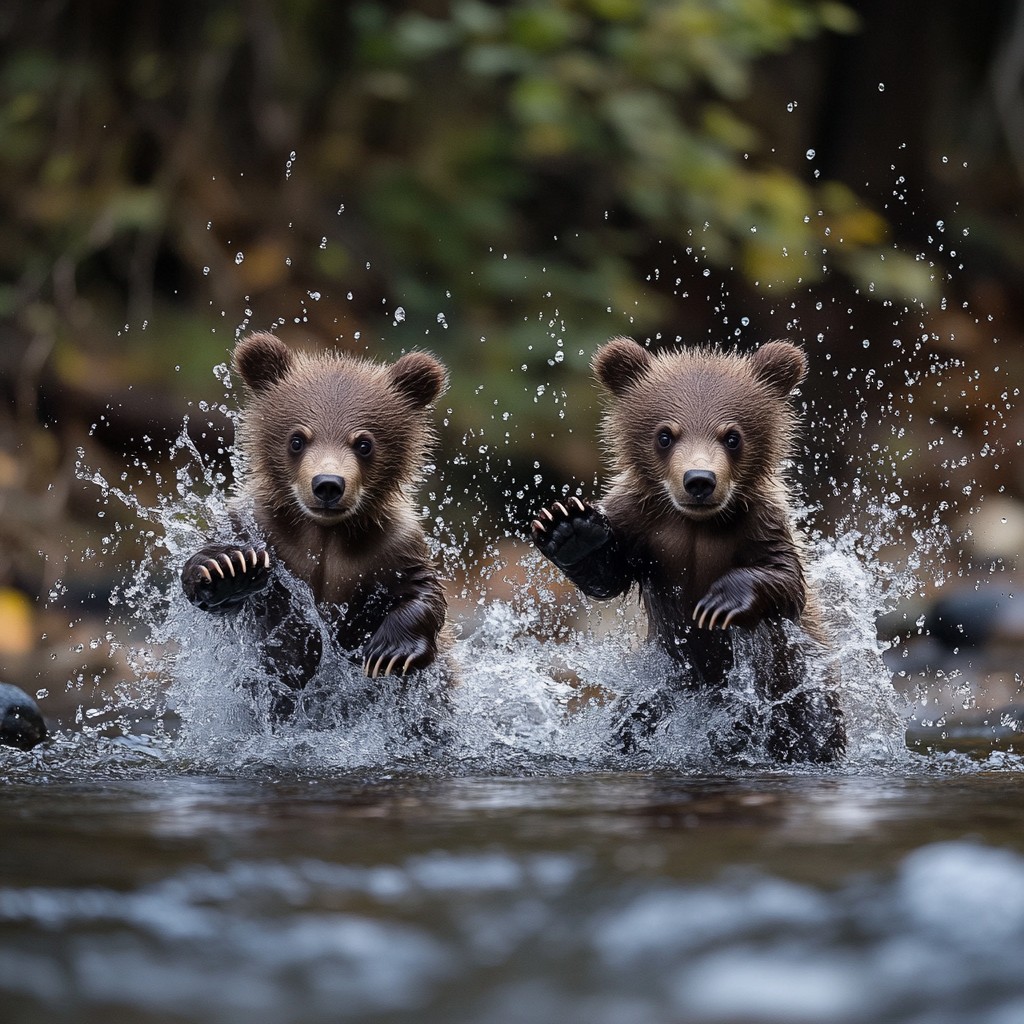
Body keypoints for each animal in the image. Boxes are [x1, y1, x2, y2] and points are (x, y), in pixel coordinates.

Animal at [181, 331, 450, 729]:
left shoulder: (391, 546)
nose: (328, 484)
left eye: (364, 443)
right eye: (297, 439)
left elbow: (423, 592)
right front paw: (228, 567)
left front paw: (389, 651)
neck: (326, 533)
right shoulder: (261, 526)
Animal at [531, 336, 845, 763]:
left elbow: (787, 580)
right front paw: (569, 526)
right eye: (665, 435)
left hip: (798, 686)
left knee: (813, 726)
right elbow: (608, 577)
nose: (699, 480)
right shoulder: (642, 524)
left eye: (732, 436)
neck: (696, 522)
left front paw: (719, 602)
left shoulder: (760, 523)